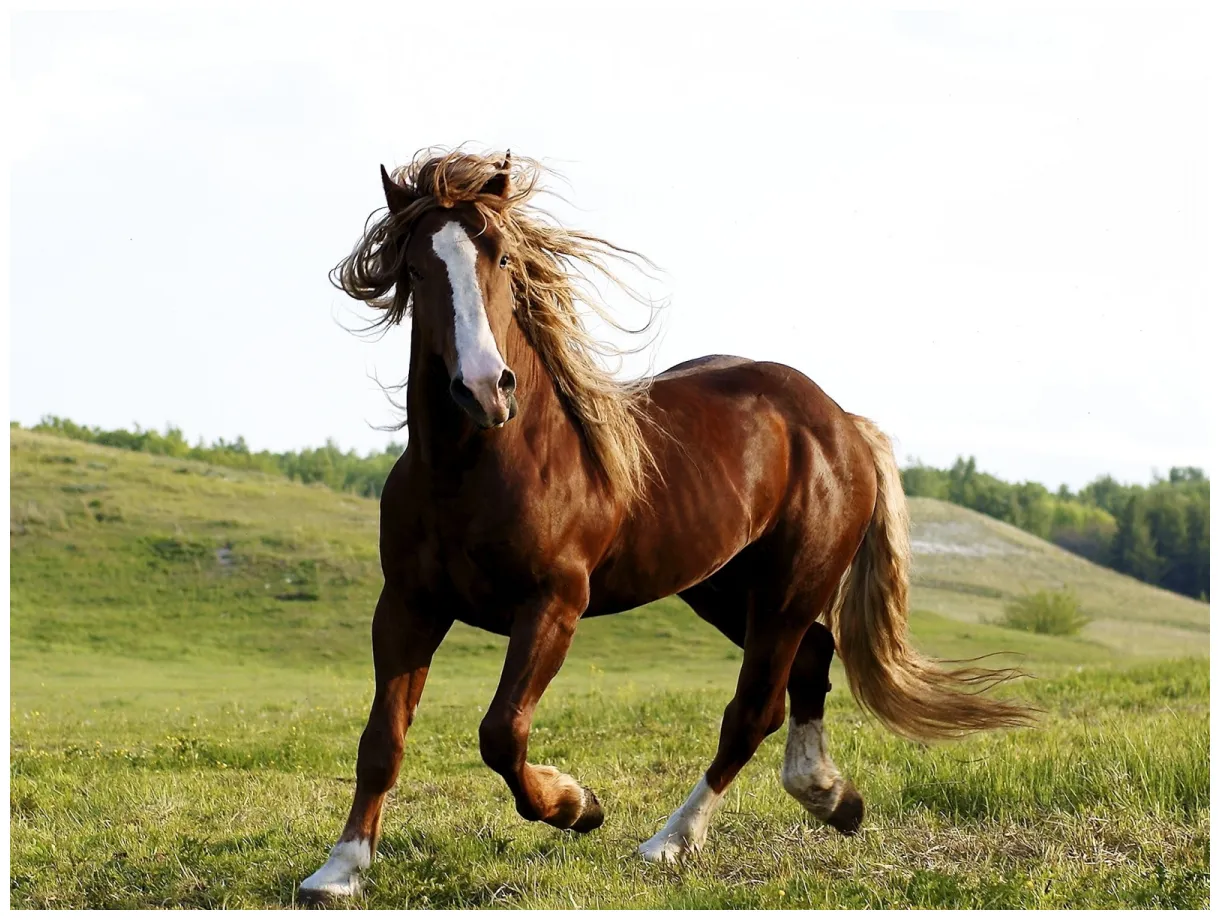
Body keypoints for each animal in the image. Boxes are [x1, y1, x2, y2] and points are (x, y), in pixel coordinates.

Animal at [299, 149, 1033, 902]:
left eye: (501, 257)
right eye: (416, 268)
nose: (483, 388)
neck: (479, 467)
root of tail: (840, 422)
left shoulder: (554, 603)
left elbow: (501, 732)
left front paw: (578, 805)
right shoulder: (408, 605)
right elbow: (382, 740)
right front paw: (340, 869)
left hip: (787, 591)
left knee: (753, 711)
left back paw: (671, 841)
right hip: (724, 590)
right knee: (810, 661)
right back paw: (831, 796)